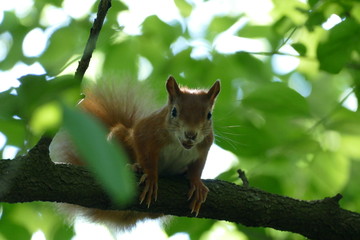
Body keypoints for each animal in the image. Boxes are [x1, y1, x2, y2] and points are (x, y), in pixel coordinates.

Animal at [49, 75, 221, 229]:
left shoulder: (204, 147)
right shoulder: (146, 131)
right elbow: (145, 155)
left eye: (209, 115)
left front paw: (196, 183)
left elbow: (198, 167)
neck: (180, 145)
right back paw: (134, 167)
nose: (191, 135)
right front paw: (150, 176)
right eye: (174, 112)